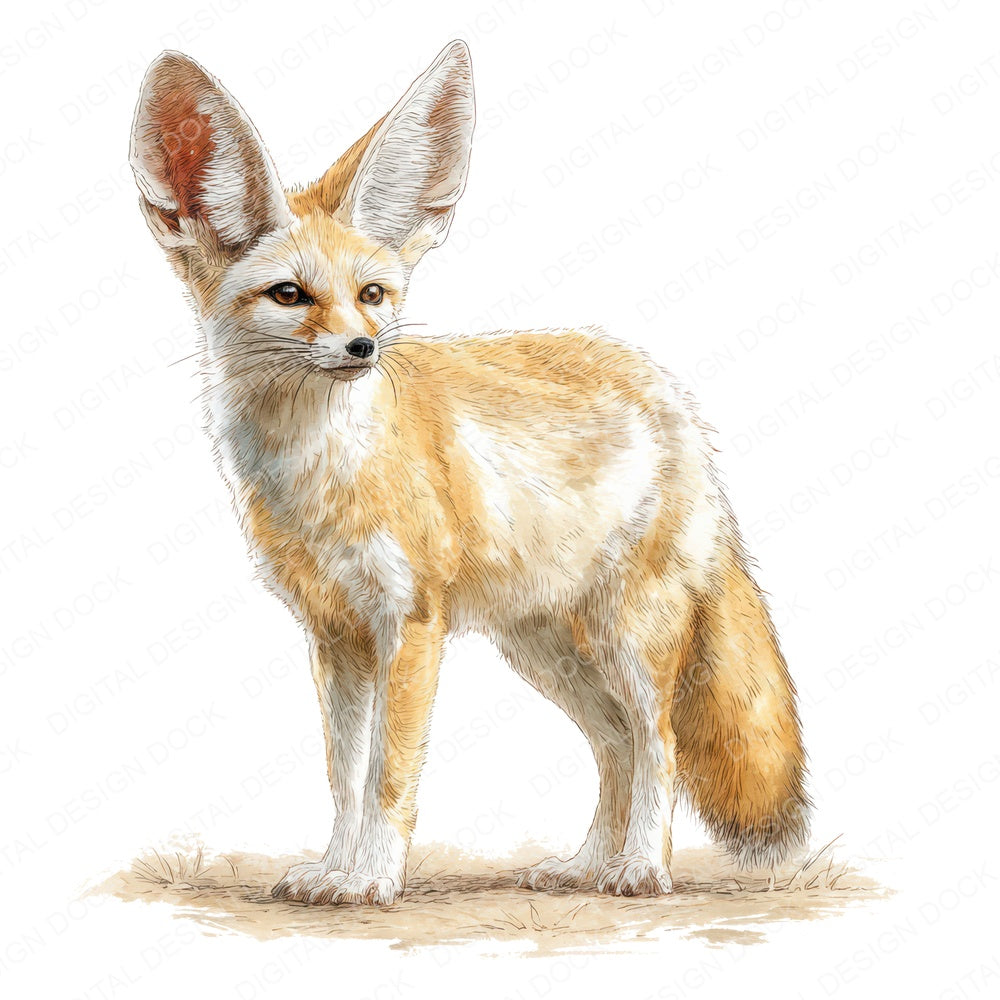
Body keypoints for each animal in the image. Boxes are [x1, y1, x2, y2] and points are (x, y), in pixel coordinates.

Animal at [130, 41, 809, 906]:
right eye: (289, 294)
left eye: (372, 294)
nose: (363, 349)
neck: (320, 478)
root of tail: (669, 394)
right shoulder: (335, 634)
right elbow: (343, 775)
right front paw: (332, 869)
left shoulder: (409, 624)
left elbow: (388, 776)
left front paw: (372, 879)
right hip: (547, 649)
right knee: (615, 744)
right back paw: (584, 866)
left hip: (627, 637)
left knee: (657, 743)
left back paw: (640, 868)